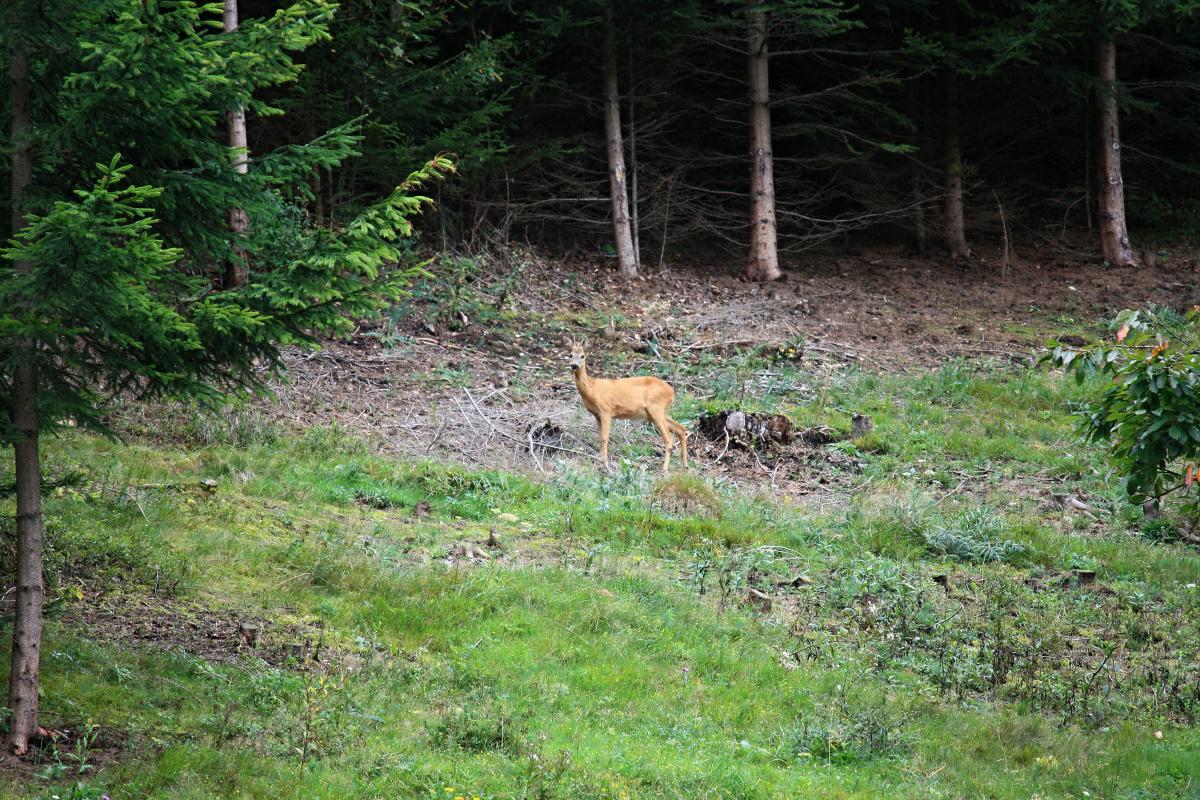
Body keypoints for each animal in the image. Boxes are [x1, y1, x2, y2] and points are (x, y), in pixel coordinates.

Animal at [567, 337, 688, 473]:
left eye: (582, 356)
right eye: (570, 355)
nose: (574, 365)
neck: (592, 389)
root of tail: (672, 391)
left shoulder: (606, 410)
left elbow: (604, 438)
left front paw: (605, 464)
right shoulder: (596, 414)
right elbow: (600, 437)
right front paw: (600, 459)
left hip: (656, 408)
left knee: (668, 439)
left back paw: (665, 469)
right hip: (657, 412)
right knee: (681, 428)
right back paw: (685, 465)